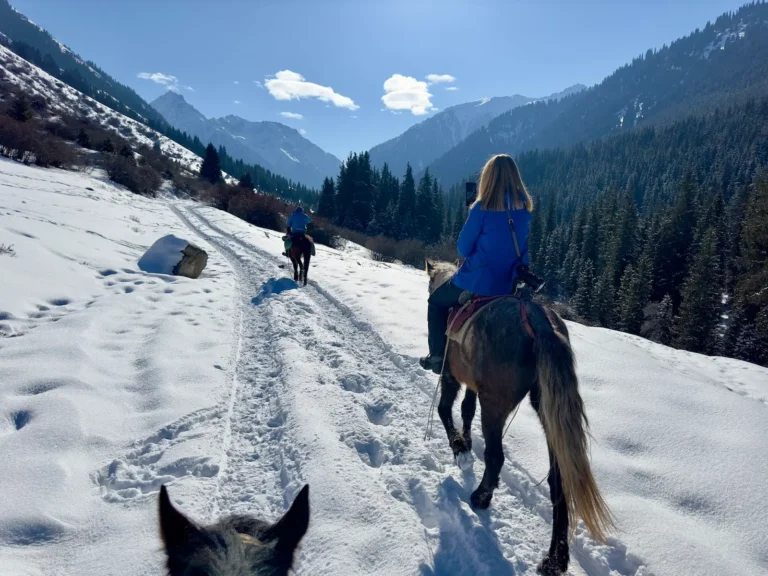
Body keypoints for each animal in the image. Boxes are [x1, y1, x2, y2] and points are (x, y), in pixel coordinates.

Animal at [426, 262, 612, 576]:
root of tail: (539, 322)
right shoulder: (473, 385)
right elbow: (466, 409)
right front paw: (465, 441)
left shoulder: (451, 375)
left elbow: (445, 409)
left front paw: (459, 446)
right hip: (548, 410)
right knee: (558, 479)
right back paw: (554, 560)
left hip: (496, 403)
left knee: (496, 456)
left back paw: (481, 497)